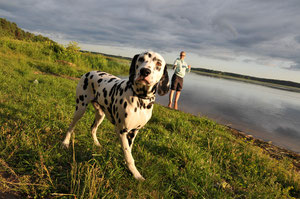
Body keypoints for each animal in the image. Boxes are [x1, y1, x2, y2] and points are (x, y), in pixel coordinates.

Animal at [61, 51, 169, 180]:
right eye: (141, 59)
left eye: (158, 63)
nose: (145, 71)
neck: (140, 99)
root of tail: (89, 72)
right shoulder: (122, 131)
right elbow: (129, 156)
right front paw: (136, 175)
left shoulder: (133, 132)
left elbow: (128, 151)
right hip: (80, 109)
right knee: (71, 127)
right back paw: (65, 142)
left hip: (100, 115)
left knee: (93, 128)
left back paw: (96, 143)